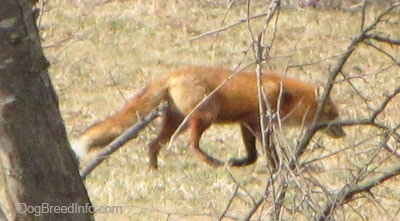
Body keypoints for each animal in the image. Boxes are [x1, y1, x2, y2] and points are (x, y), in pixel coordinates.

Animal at [72, 66, 346, 168]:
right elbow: (267, 153)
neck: (285, 95)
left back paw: (154, 170)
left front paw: (239, 163)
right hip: (205, 117)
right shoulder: (258, 122)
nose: (343, 132)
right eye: (334, 114)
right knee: (192, 146)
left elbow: (252, 155)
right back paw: (212, 162)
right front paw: (278, 169)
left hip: (177, 122)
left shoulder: (246, 123)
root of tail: (173, 73)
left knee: (153, 145)